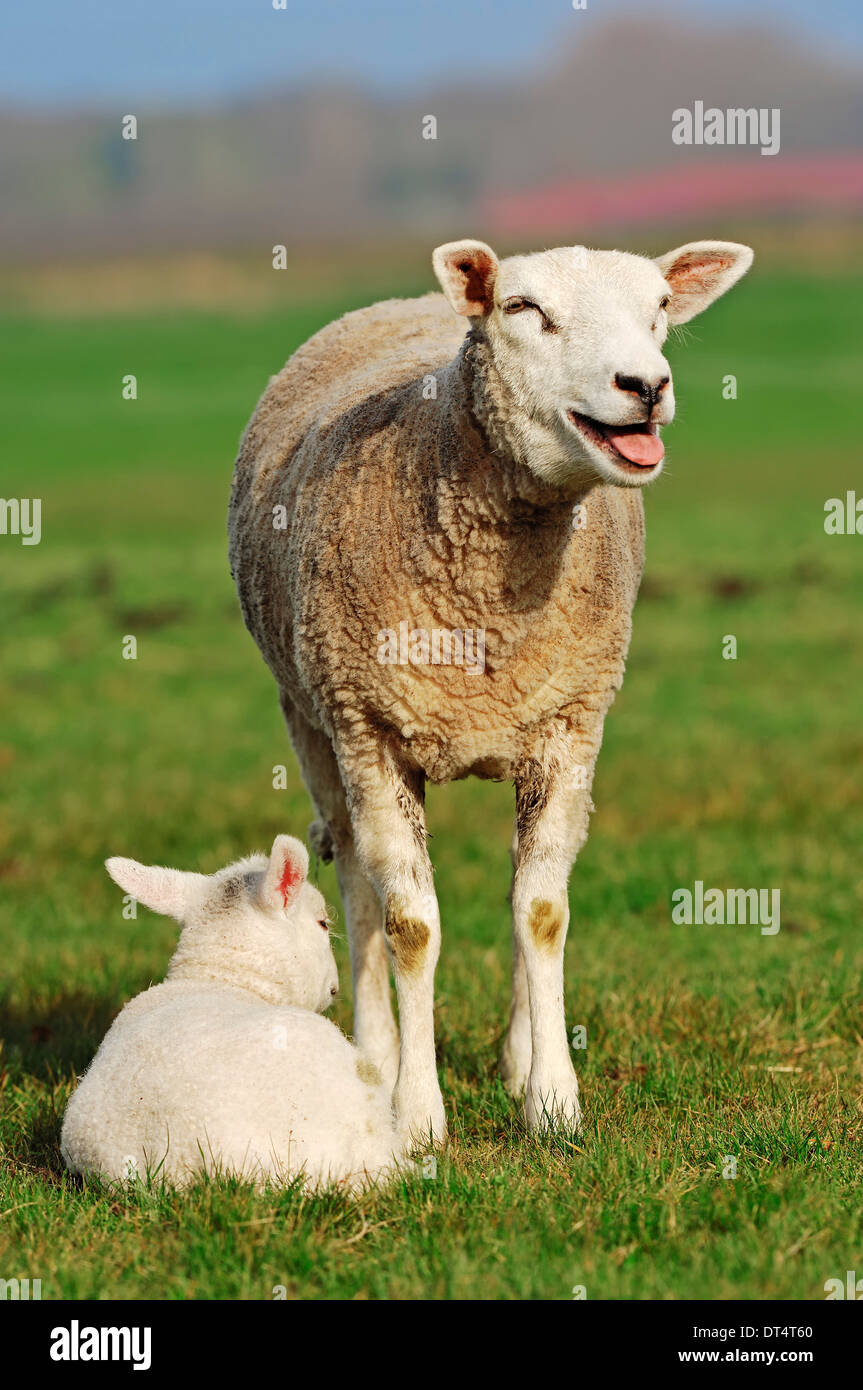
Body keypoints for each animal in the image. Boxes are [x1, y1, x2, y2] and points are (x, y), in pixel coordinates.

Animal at [228, 236, 754, 1143]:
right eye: (521, 309)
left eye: (658, 307)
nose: (644, 386)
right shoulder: (369, 727)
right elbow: (408, 926)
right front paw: (417, 1114)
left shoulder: (570, 725)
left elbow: (540, 911)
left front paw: (550, 1099)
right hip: (313, 721)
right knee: (358, 886)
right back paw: (375, 1059)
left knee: (517, 880)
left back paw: (513, 1056)